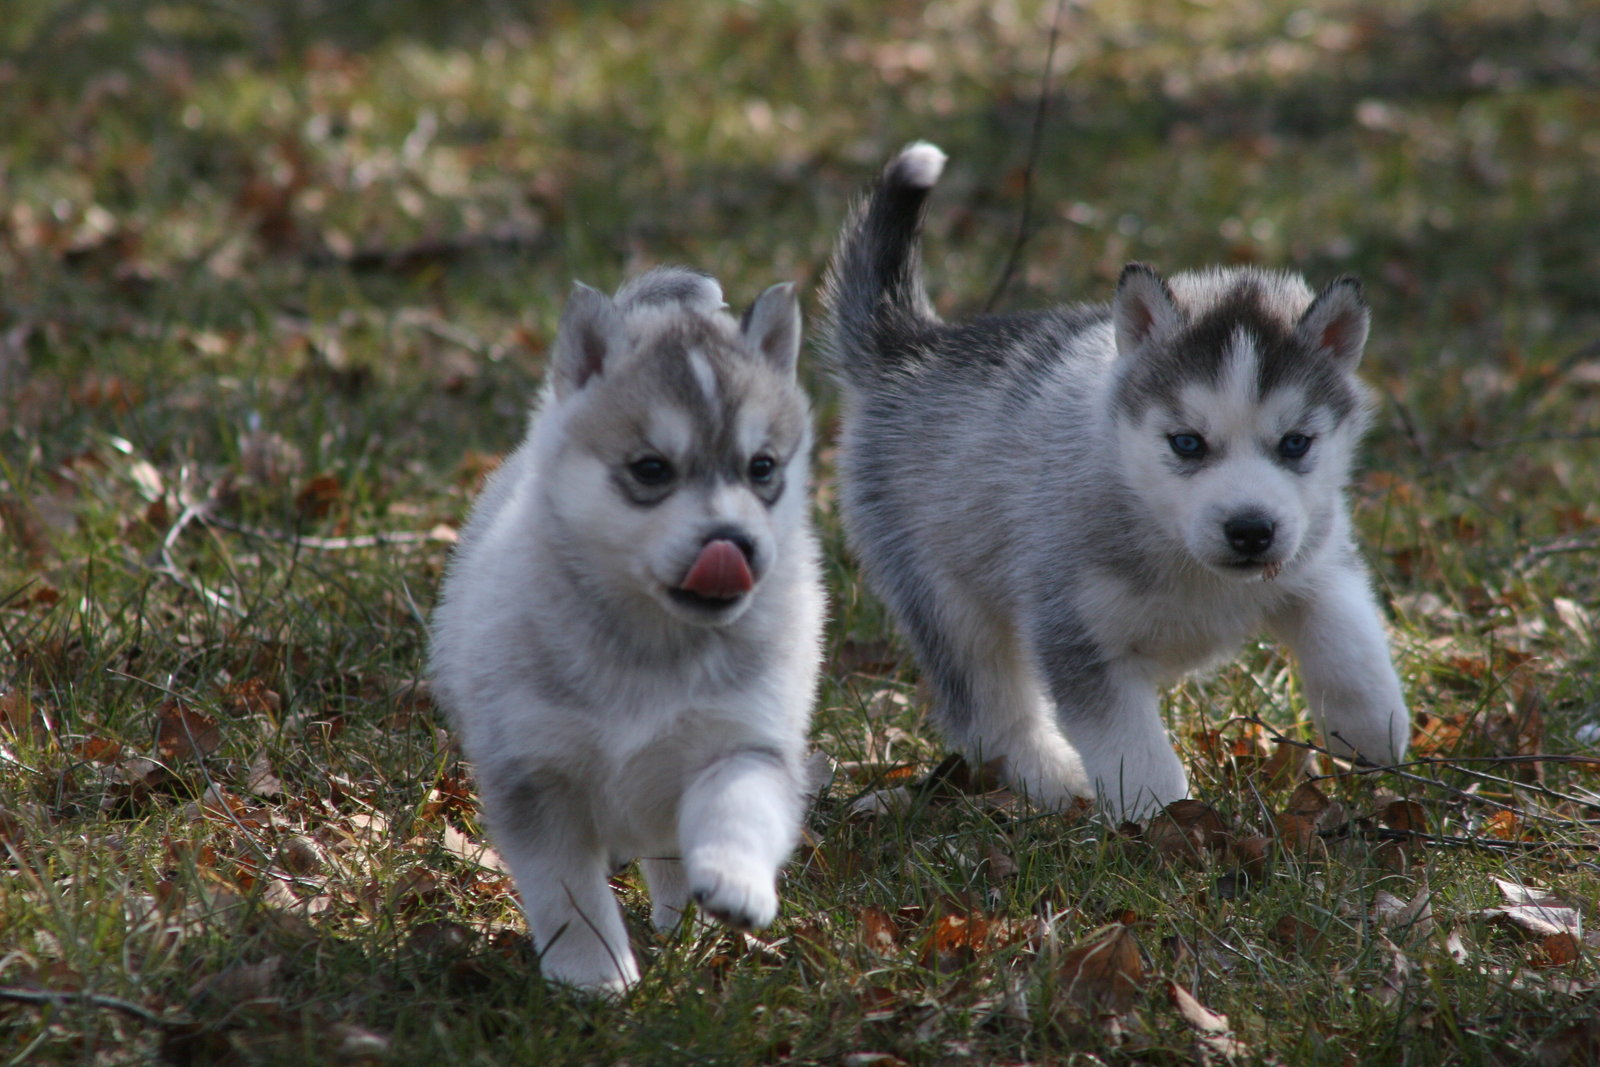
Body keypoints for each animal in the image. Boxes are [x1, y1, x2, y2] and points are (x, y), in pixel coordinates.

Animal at [428, 267, 825, 991]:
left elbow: (740, 806)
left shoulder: (743, 738)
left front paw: (735, 881)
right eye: (651, 469)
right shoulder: (535, 773)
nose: (733, 544)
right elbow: (569, 893)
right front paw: (596, 979)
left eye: (762, 468)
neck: (654, 642)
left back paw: (685, 923)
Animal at [825, 141, 1414, 819]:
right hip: (945, 598)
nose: (1250, 531)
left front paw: (1373, 733)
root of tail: (914, 347)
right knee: (991, 711)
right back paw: (1054, 778)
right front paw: (1161, 821)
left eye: (1295, 443)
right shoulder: (1077, 633)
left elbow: (1349, 642)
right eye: (1186, 443)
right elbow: (1132, 750)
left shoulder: (1316, 559)